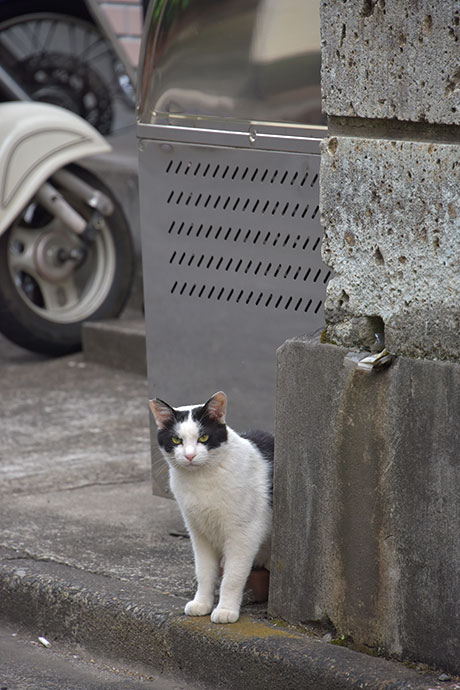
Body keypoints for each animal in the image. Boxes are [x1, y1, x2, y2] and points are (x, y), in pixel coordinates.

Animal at [148, 390, 274, 620]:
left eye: (204, 437)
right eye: (176, 439)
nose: (189, 455)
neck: (202, 480)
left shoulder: (243, 534)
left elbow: (233, 577)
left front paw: (226, 610)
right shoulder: (199, 533)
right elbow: (204, 572)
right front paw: (202, 603)